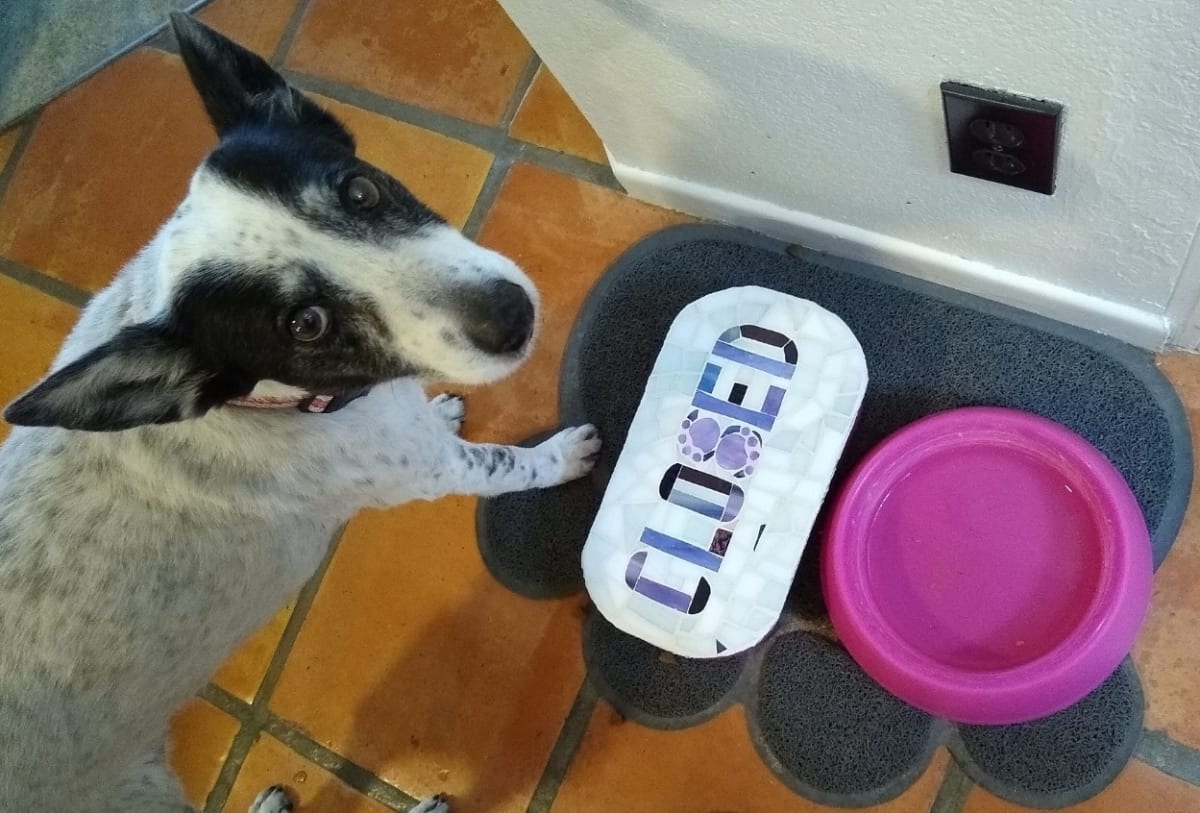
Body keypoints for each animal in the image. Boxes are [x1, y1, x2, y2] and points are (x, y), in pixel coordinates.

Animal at [0, 14, 600, 813]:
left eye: (362, 190)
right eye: (306, 324)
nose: (512, 316)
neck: (277, 403)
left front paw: (441, 407)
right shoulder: (433, 471)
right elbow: (511, 464)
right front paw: (565, 456)